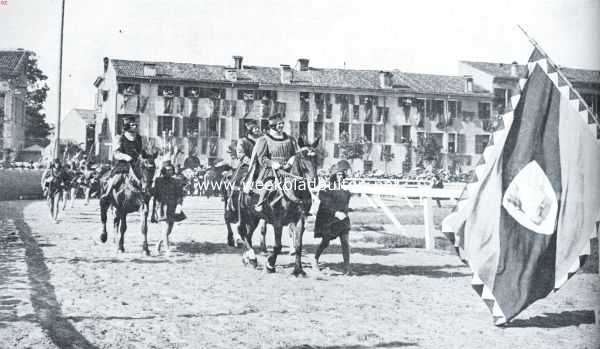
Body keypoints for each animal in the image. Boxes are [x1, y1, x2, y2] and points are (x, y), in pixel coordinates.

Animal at [236, 136, 322, 274]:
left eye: (316, 157)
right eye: (302, 157)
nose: (313, 181)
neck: (294, 191)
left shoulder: (300, 220)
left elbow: (298, 245)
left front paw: (299, 270)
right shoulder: (278, 222)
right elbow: (278, 245)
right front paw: (270, 264)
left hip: (255, 217)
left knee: (248, 235)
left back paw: (248, 259)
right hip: (245, 214)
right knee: (242, 232)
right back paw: (252, 258)